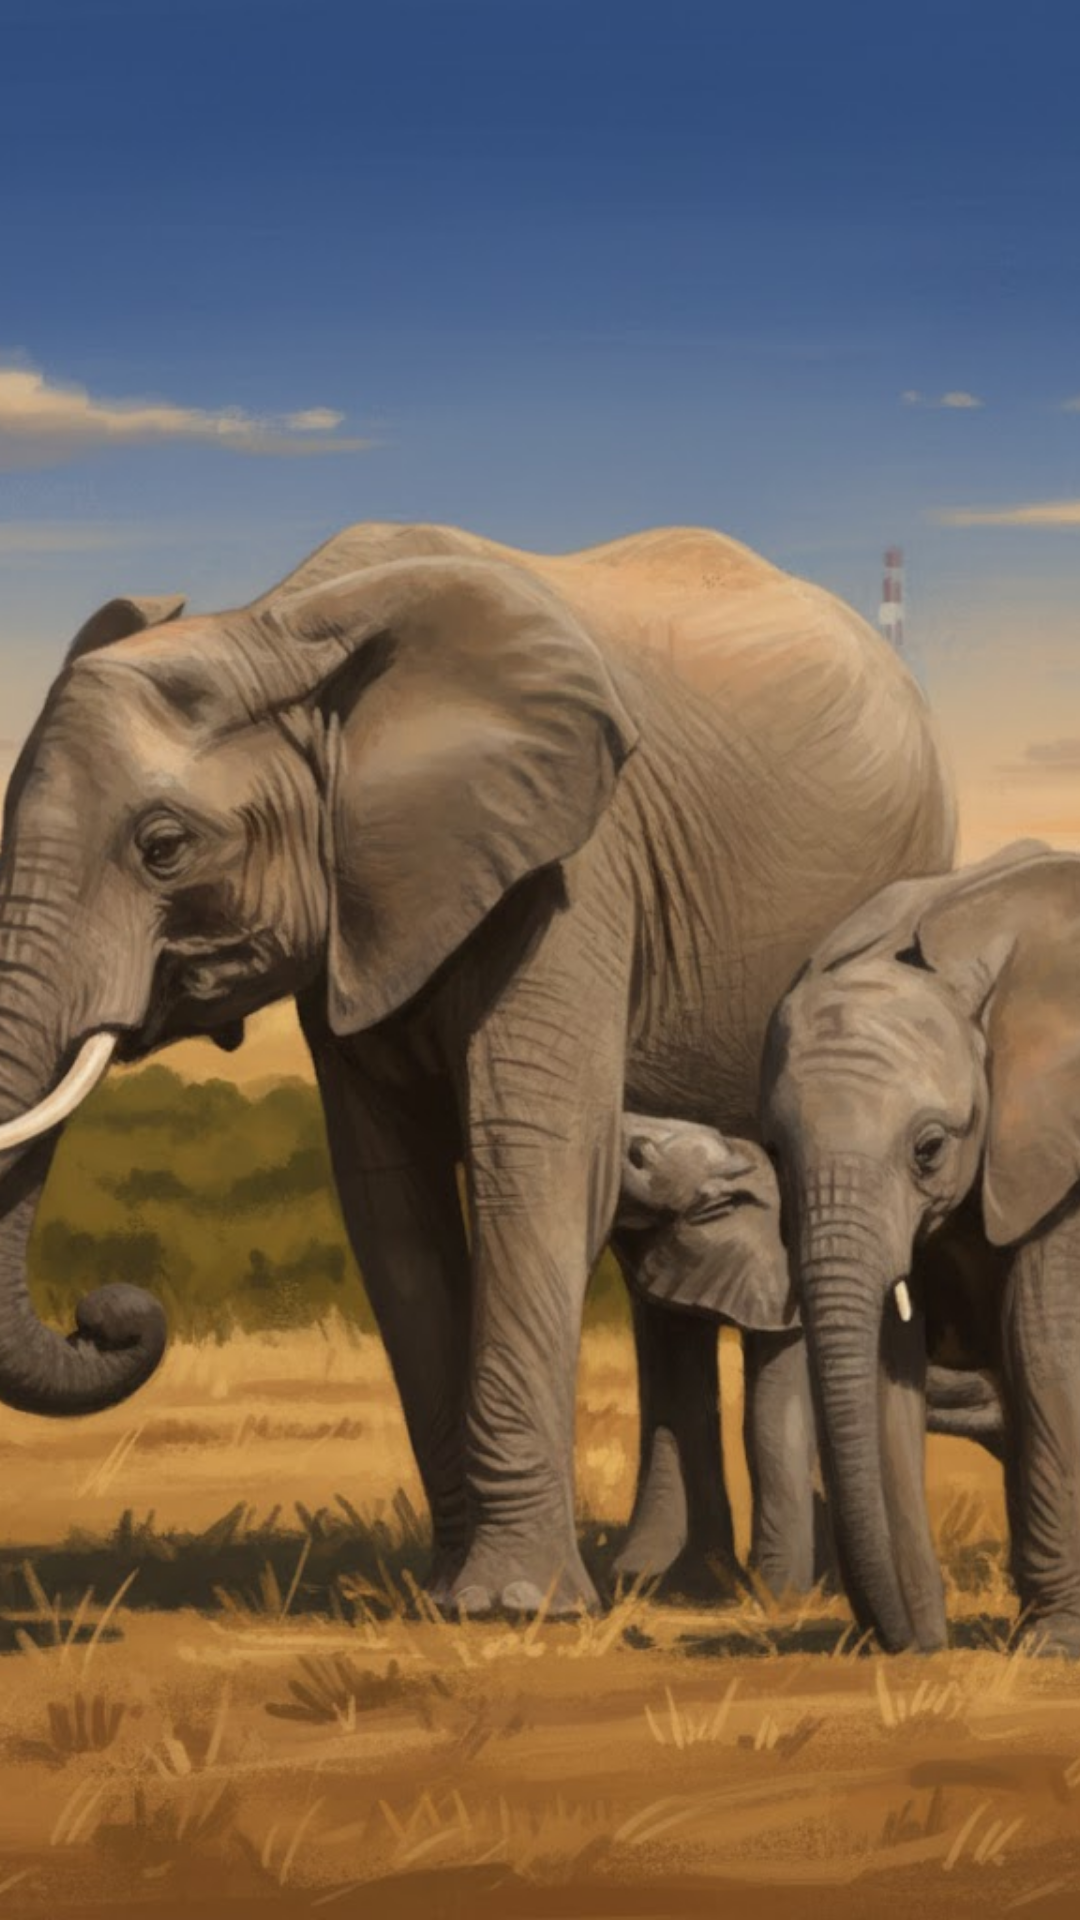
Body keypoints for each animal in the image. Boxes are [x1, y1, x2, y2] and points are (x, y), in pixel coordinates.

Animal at [0, 519, 953, 1617]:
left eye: (163, 846)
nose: (109, 1312)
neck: (278, 628)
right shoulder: (362, 904)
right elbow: (390, 1204)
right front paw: (444, 1593)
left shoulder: (574, 869)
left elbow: (532, 1164)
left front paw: (512, 1608)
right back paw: (670, 1583)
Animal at [760, 836, 1080, 1655]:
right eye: (774, 1154)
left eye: (929, 1149)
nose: (903, 1636)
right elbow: (887, 1358)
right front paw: (918, 1642)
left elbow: (1043, 1344)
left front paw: (1052, 1644)